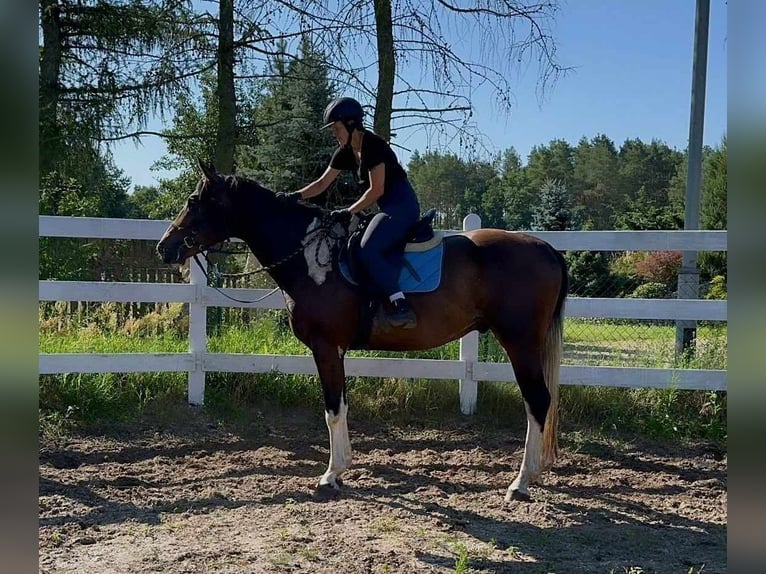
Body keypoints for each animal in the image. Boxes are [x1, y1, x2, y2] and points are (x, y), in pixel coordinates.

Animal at [158, 161, 568, 504]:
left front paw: (331, 474)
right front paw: (341, 469)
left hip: (519, 343)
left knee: (538, 402)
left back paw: (521, 482)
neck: (311, 257)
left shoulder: (326, 347)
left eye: (194, 201)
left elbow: (333, 409)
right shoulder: (335, 350)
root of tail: (545, 247)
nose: (165, 247)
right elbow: (341, 405)